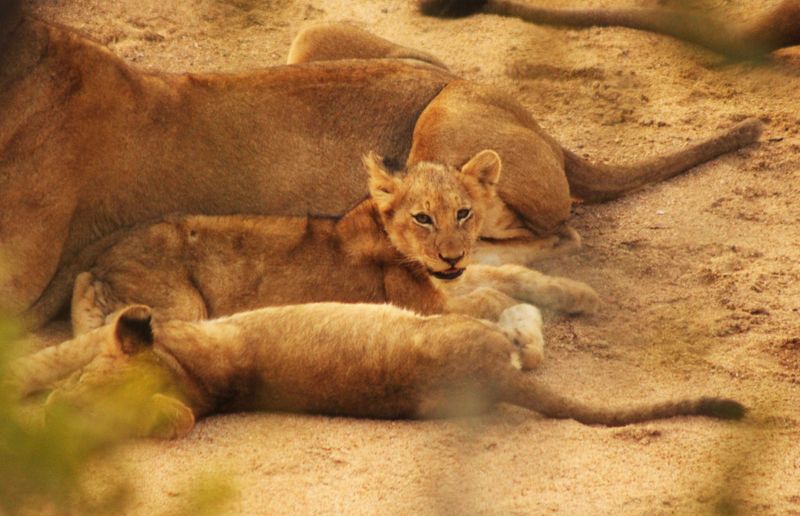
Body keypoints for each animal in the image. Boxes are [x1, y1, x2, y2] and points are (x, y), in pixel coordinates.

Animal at [64, 150, 599, 371]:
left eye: (464, 213)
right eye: (423, 218)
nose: (450, 256)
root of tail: (100, 256)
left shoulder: (458, 277)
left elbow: (510, 272)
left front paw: (579, 294)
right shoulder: (429, 304)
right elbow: (493, 295)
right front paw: (522, 329)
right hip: (181, 302)